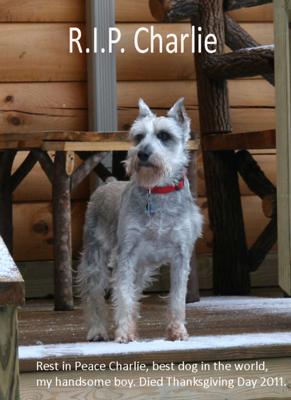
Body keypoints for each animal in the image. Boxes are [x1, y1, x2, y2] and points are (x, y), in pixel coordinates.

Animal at [78, 98, 204, 342]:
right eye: (138, 136)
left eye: (164, 135)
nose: (142, 154)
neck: (158, 190)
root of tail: (108, 182)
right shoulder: (126, 255)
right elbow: (123, 295)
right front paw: (124, 333)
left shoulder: (181, 256)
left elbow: (177, 298)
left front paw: (177, 331)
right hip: (95, 256)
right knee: (94, 294)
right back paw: (97, 330)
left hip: (142, 267)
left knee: (134, 291)